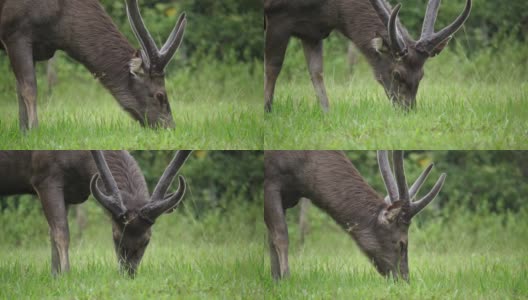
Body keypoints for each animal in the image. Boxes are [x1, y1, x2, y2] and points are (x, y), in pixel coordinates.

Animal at [0, 0, 187, 131]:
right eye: (160, 95)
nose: (171, 128)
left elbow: (20, 92)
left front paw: (24, 133)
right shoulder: (15, 32)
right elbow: (30, 88)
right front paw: (35, 132)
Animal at [0, 150, 192, 276]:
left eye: (147, 240)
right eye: (115, 236)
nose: (128, 273)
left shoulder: (67, 193)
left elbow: (52, 234)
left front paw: (55, 275)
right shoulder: (44, 177)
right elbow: (62, 233)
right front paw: (66, 275)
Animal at [264, 151, 446, 280]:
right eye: (402, 243)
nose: (405, 280)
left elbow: (271, 238)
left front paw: (275, 280)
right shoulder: (272, 180)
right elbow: (281, 236)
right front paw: (285, 280)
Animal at [266, 0, 472, 112]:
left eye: (422, 75)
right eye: (397, 74)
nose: (407, 110)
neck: (331, 9)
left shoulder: (313, 31)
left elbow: (316, 72)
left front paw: (326, 115)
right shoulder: (276, 15)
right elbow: (273, 67)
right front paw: (267, 114)